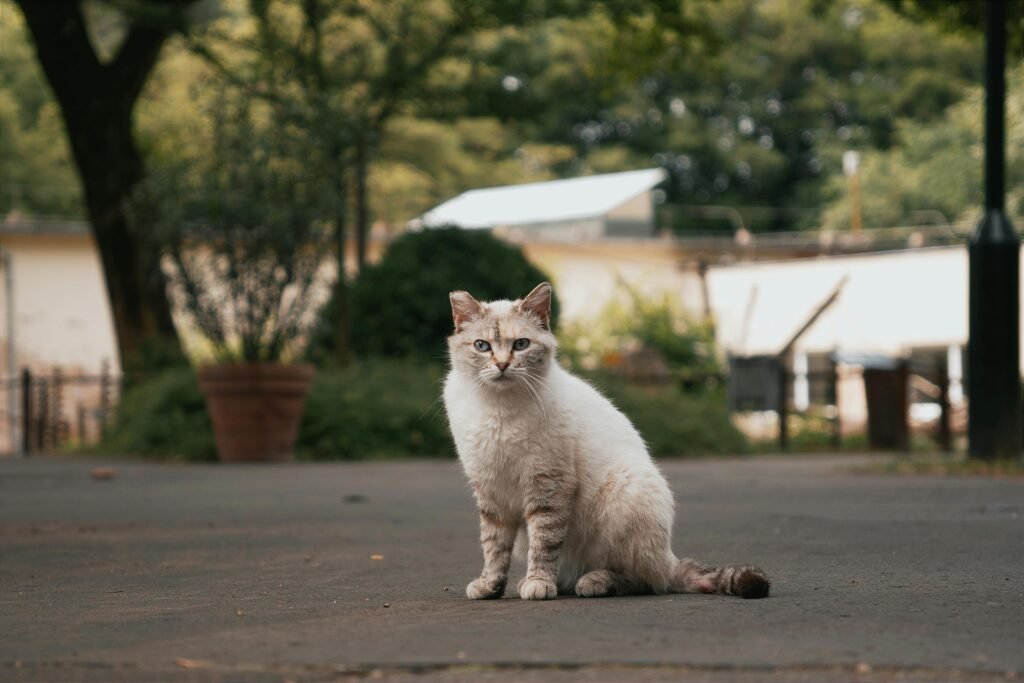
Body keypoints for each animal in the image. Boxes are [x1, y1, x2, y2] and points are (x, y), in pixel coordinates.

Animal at [440, 280, 770, 602]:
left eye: (521, 344)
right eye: (482, 346)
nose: (502, 365)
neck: (498, 407)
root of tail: (670, 558)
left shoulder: (548, 485)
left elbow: (544, 544)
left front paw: (538, 584)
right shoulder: (491, 492)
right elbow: (494, 548)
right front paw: (490, 587)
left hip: (623, 498)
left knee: (647, 579)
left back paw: (593, 581)